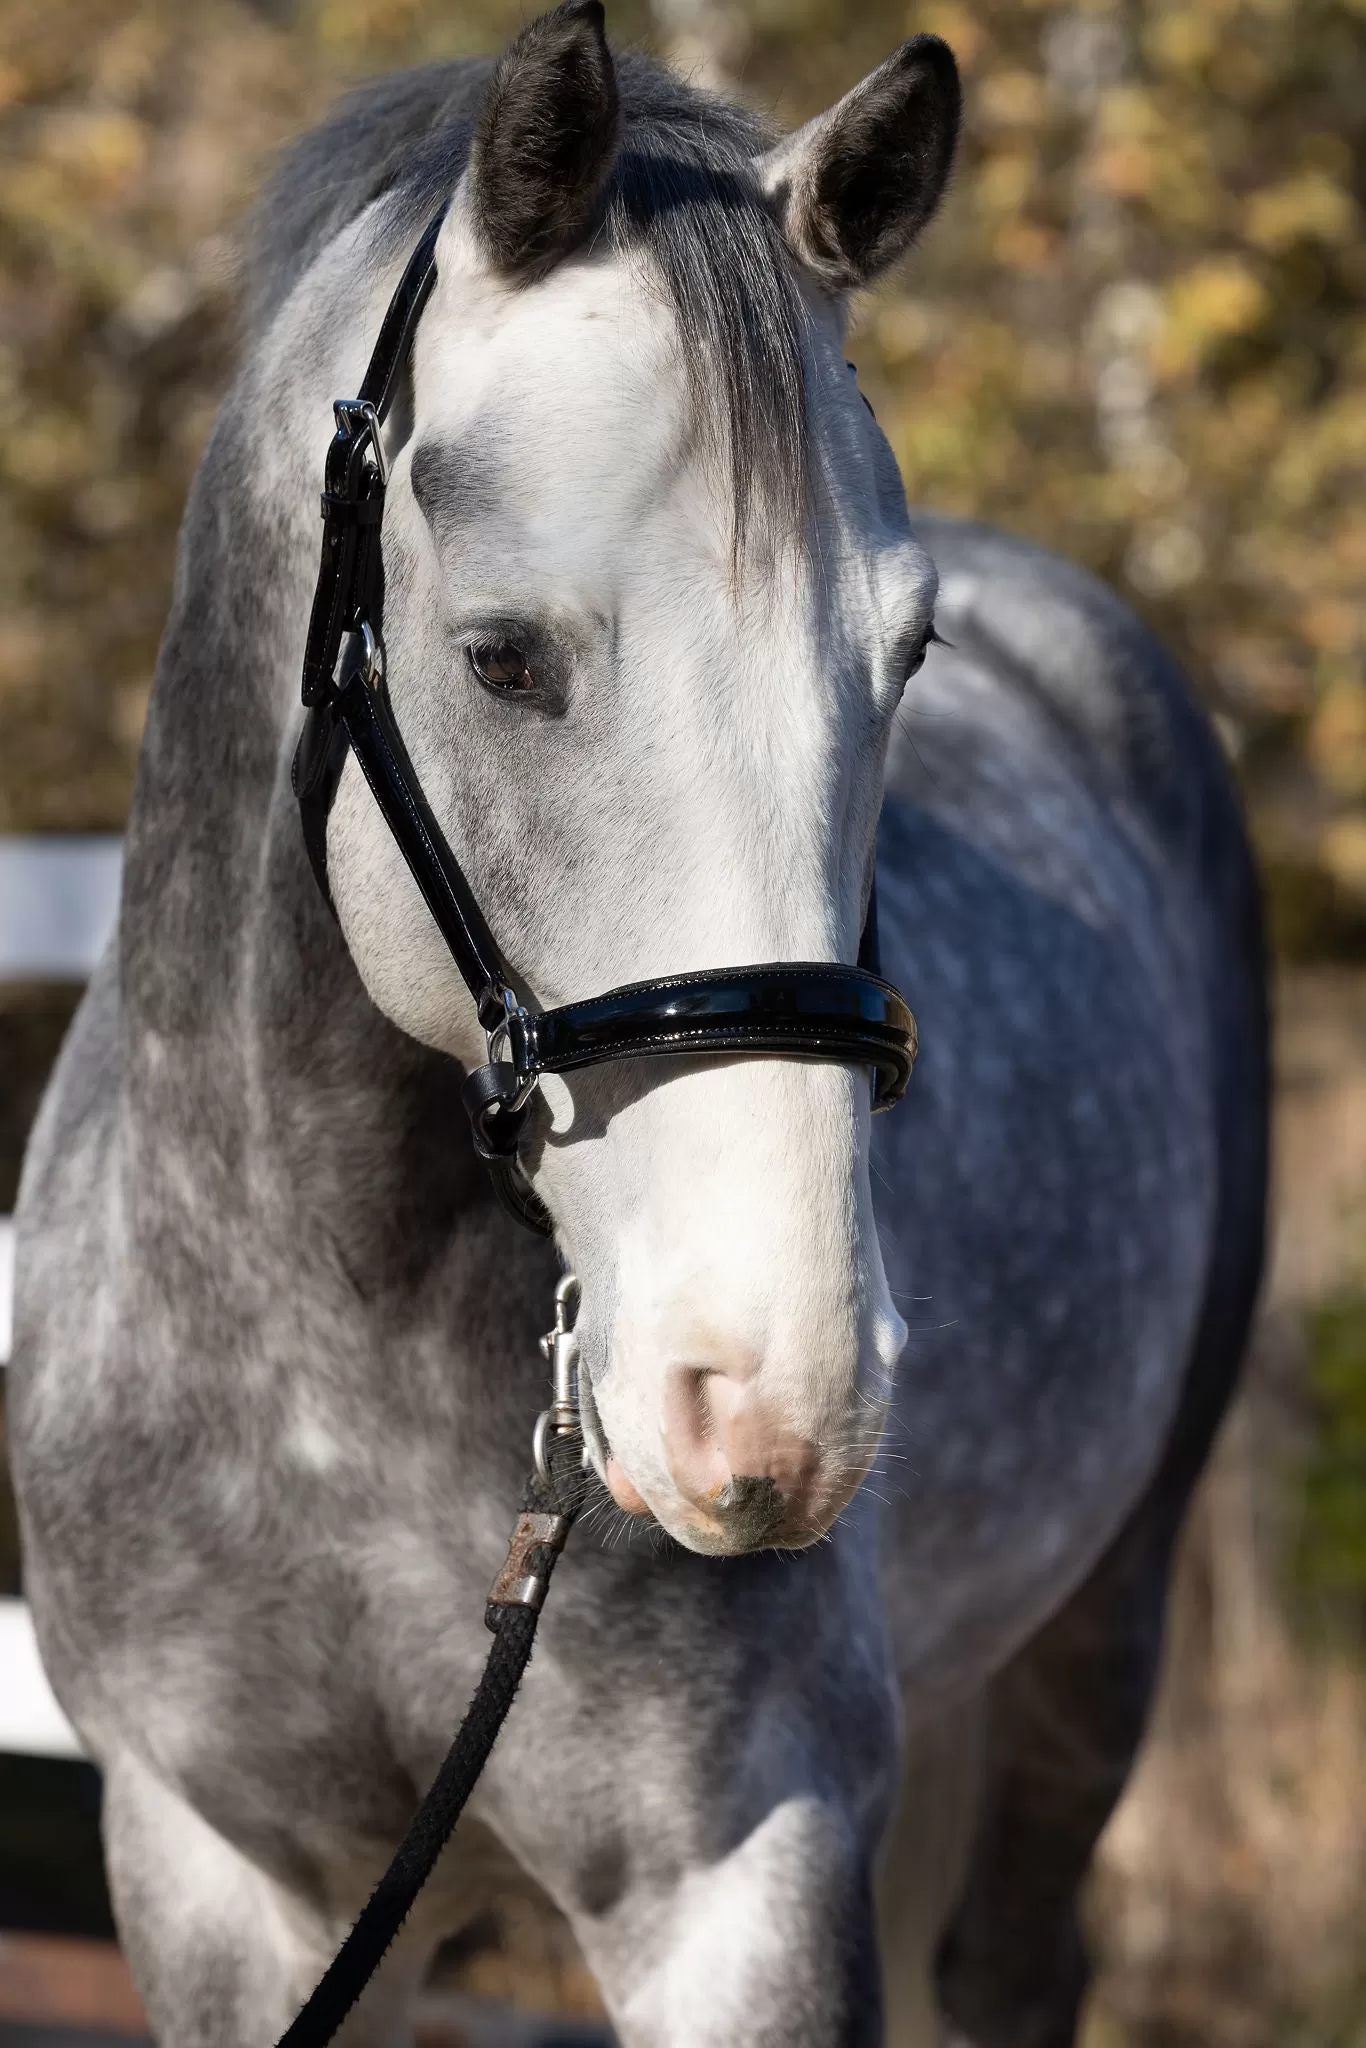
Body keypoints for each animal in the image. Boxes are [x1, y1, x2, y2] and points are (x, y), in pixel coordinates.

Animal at [10, 8, 1269, 2039]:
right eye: (502, 657)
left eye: (902, 657)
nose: (772, 1400)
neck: (328, 1333)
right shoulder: (223, 1880)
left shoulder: (736, 1880)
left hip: (1091, 1655)